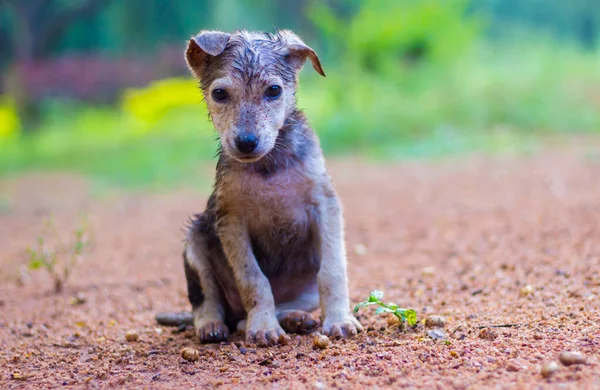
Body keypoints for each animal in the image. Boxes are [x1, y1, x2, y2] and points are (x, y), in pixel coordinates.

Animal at [156, 31, 360, 348]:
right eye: (219, 94)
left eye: (274, 90)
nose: (246, 142)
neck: (269, 166)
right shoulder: (231, 221)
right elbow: (254, 280)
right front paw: (263, 326)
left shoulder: (325, 205)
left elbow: (333, 271)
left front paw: (339, 319)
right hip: (195, 244)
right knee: (210, 304)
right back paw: (213, 326)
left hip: (305, 290)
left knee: (271, 308)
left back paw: (295, 318)